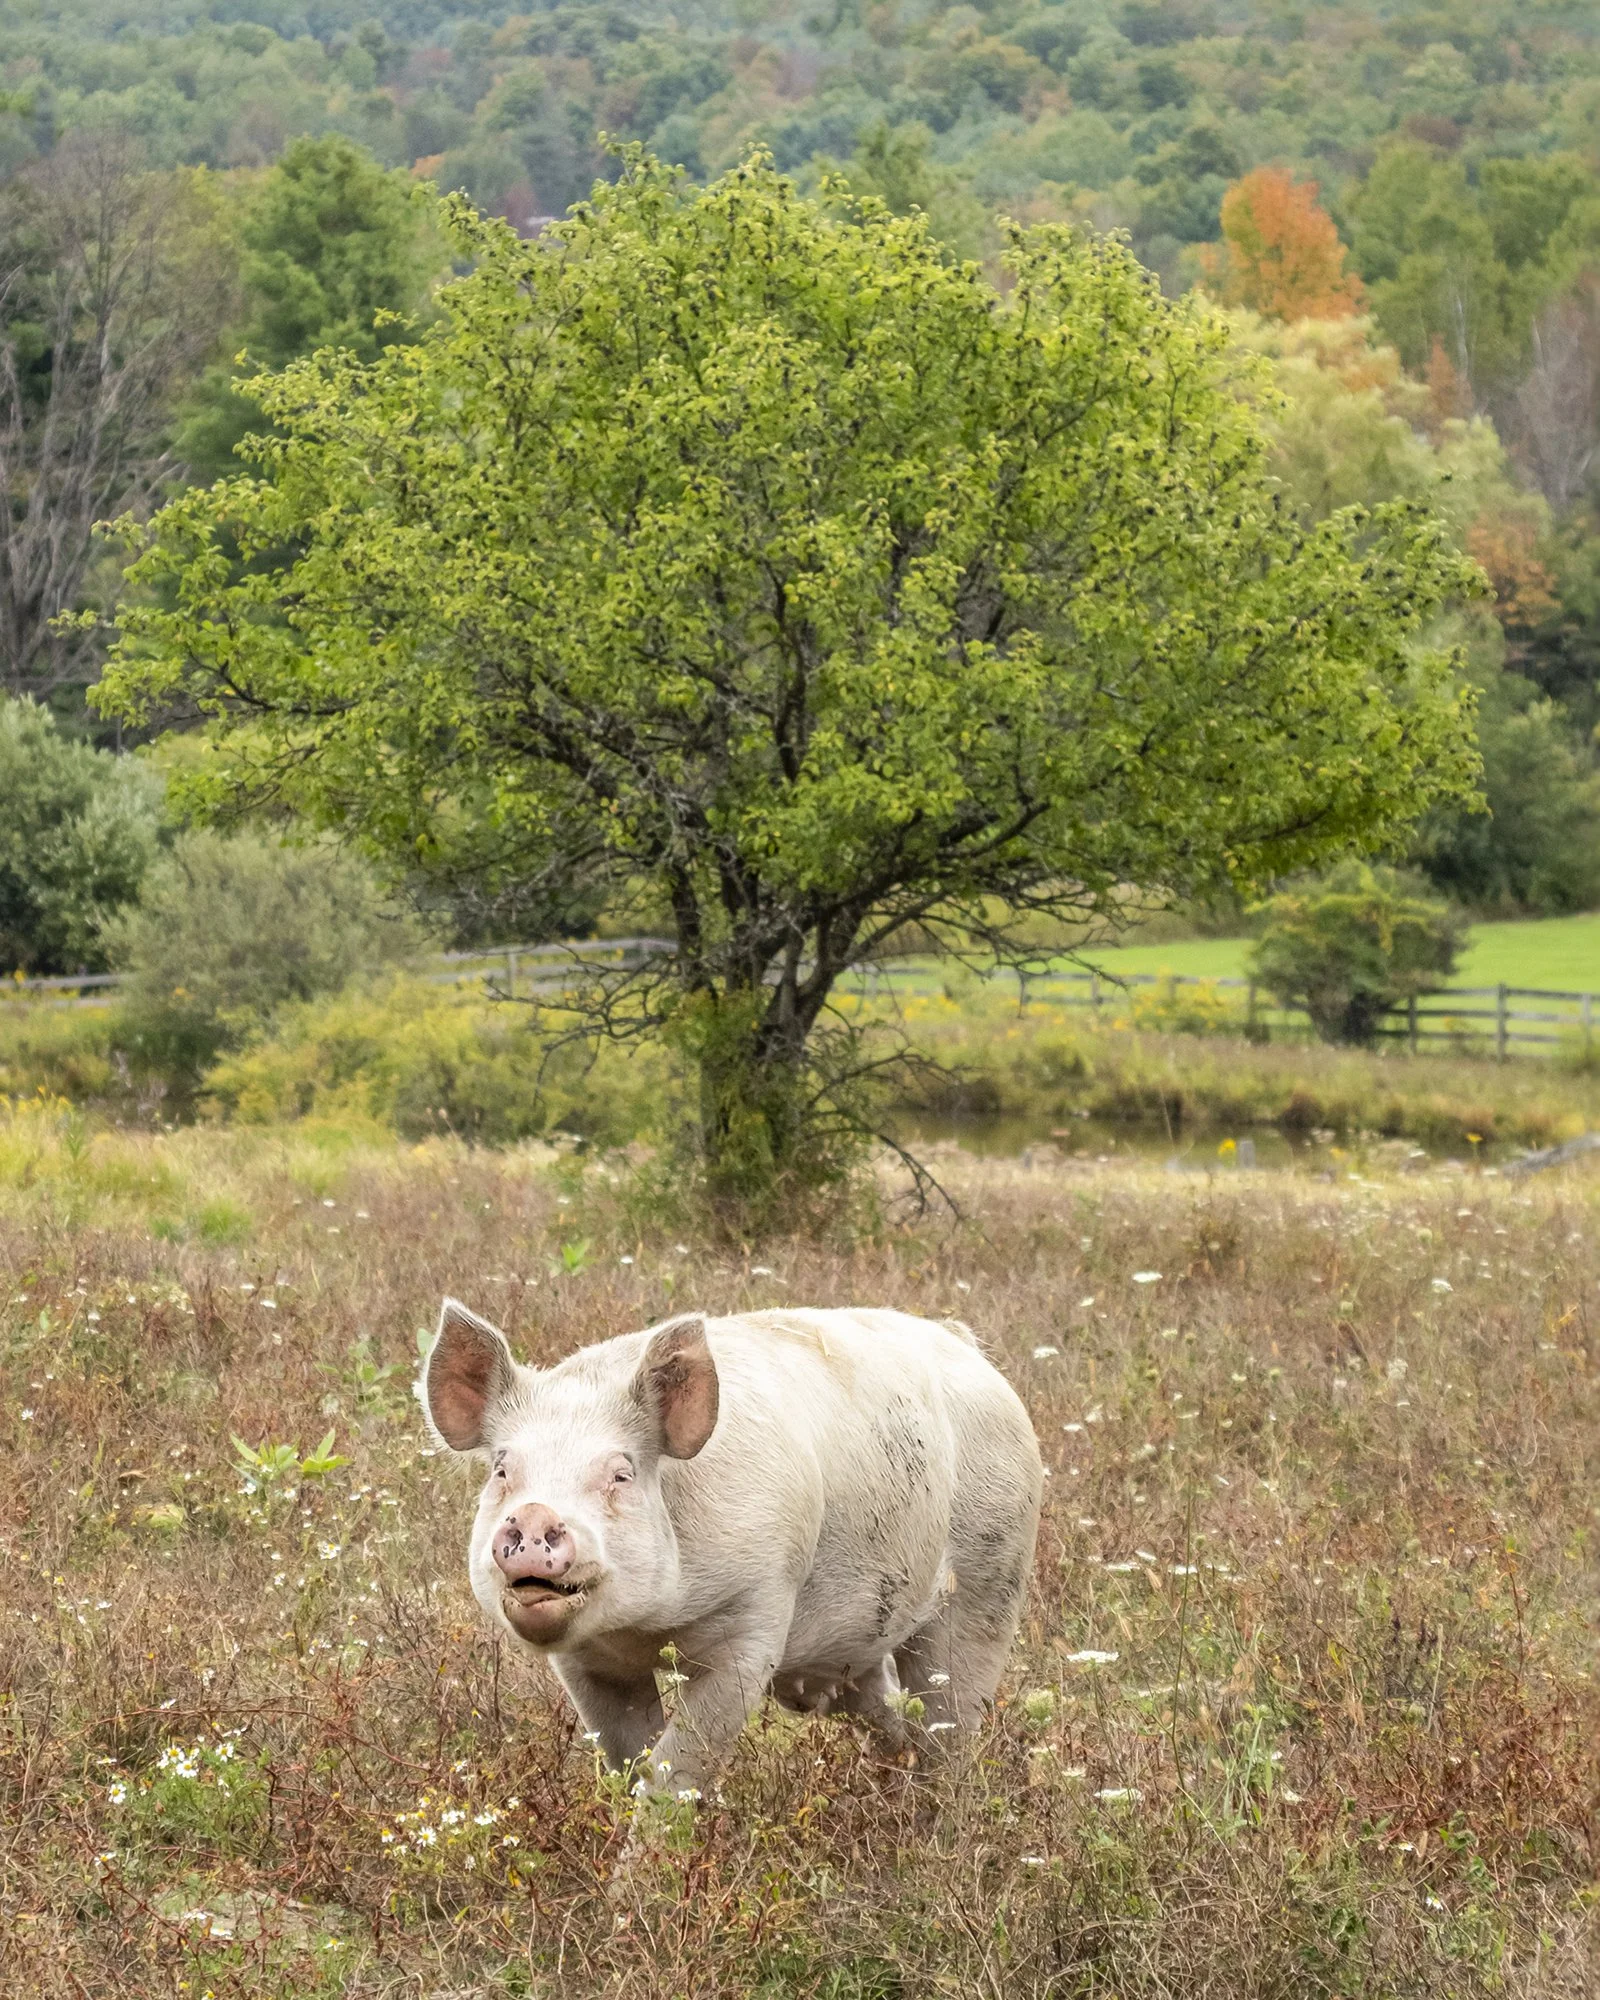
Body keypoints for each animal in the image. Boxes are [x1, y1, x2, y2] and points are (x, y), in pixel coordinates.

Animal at [420, 1299, 1043, 1799]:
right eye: (503, 1471)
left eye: (621, 1474)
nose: (532, 1515)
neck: (642, 1629)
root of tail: (964, 1344)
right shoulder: (586, 1663)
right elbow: (628, 1760)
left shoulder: (754, 1618)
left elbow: (675, 1770)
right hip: (857, 1645)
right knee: (891, 1713)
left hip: (995, 1570)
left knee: (952, 1726)